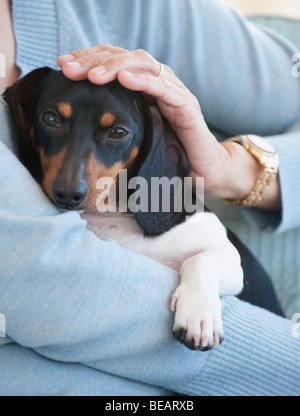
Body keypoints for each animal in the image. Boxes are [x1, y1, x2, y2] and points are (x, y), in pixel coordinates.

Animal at [2, 68, 284, 352]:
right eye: (50, 119)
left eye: (118, 132)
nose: (68, 193)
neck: (112, 216)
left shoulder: (231, 260)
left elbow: (199, 260)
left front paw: (198, 314)